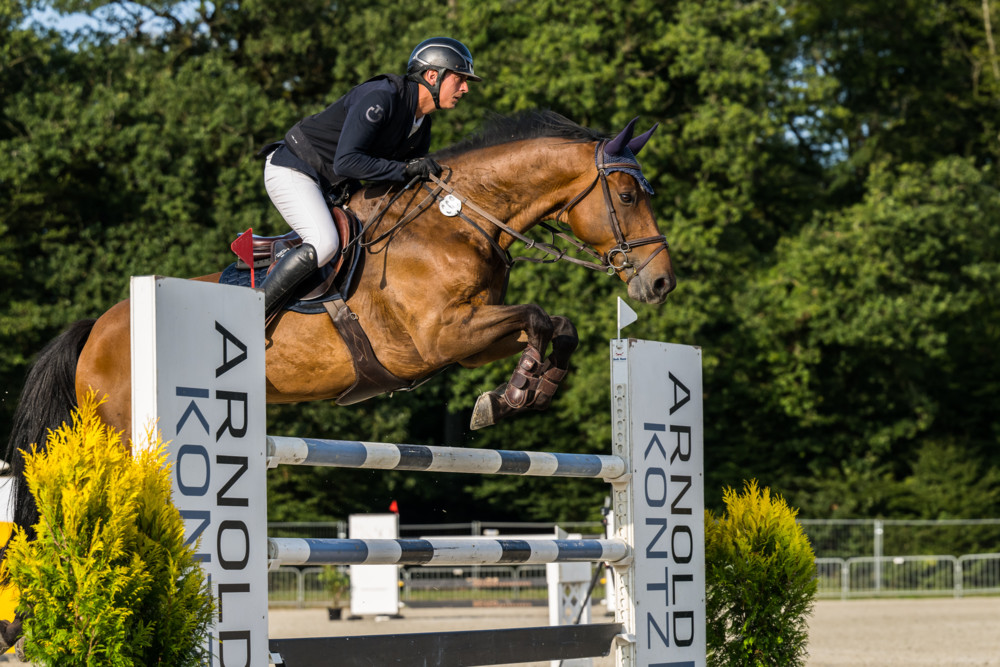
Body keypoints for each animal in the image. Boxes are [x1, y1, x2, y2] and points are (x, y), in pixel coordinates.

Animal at [0, 109, 676, 648]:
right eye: (626, 195)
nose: (660, 282)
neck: (457, 221)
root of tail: (97, 328)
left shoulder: (468, 337)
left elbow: (558, 325)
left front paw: (525, 389)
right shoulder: (440, 337)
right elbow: (537, 316)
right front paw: (511, 394)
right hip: (118, 436)